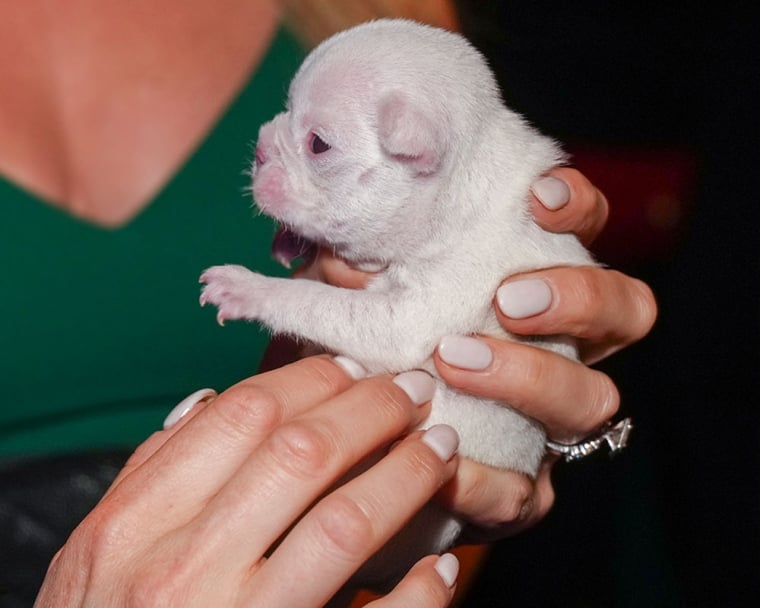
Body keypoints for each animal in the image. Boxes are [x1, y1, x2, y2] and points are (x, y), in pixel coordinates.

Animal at [199, 19, 592, 588]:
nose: (261, 147)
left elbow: (315, 298)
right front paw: (290, 242)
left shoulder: (415, 311)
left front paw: (247, 286)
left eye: (318, 144)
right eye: (286, 110)